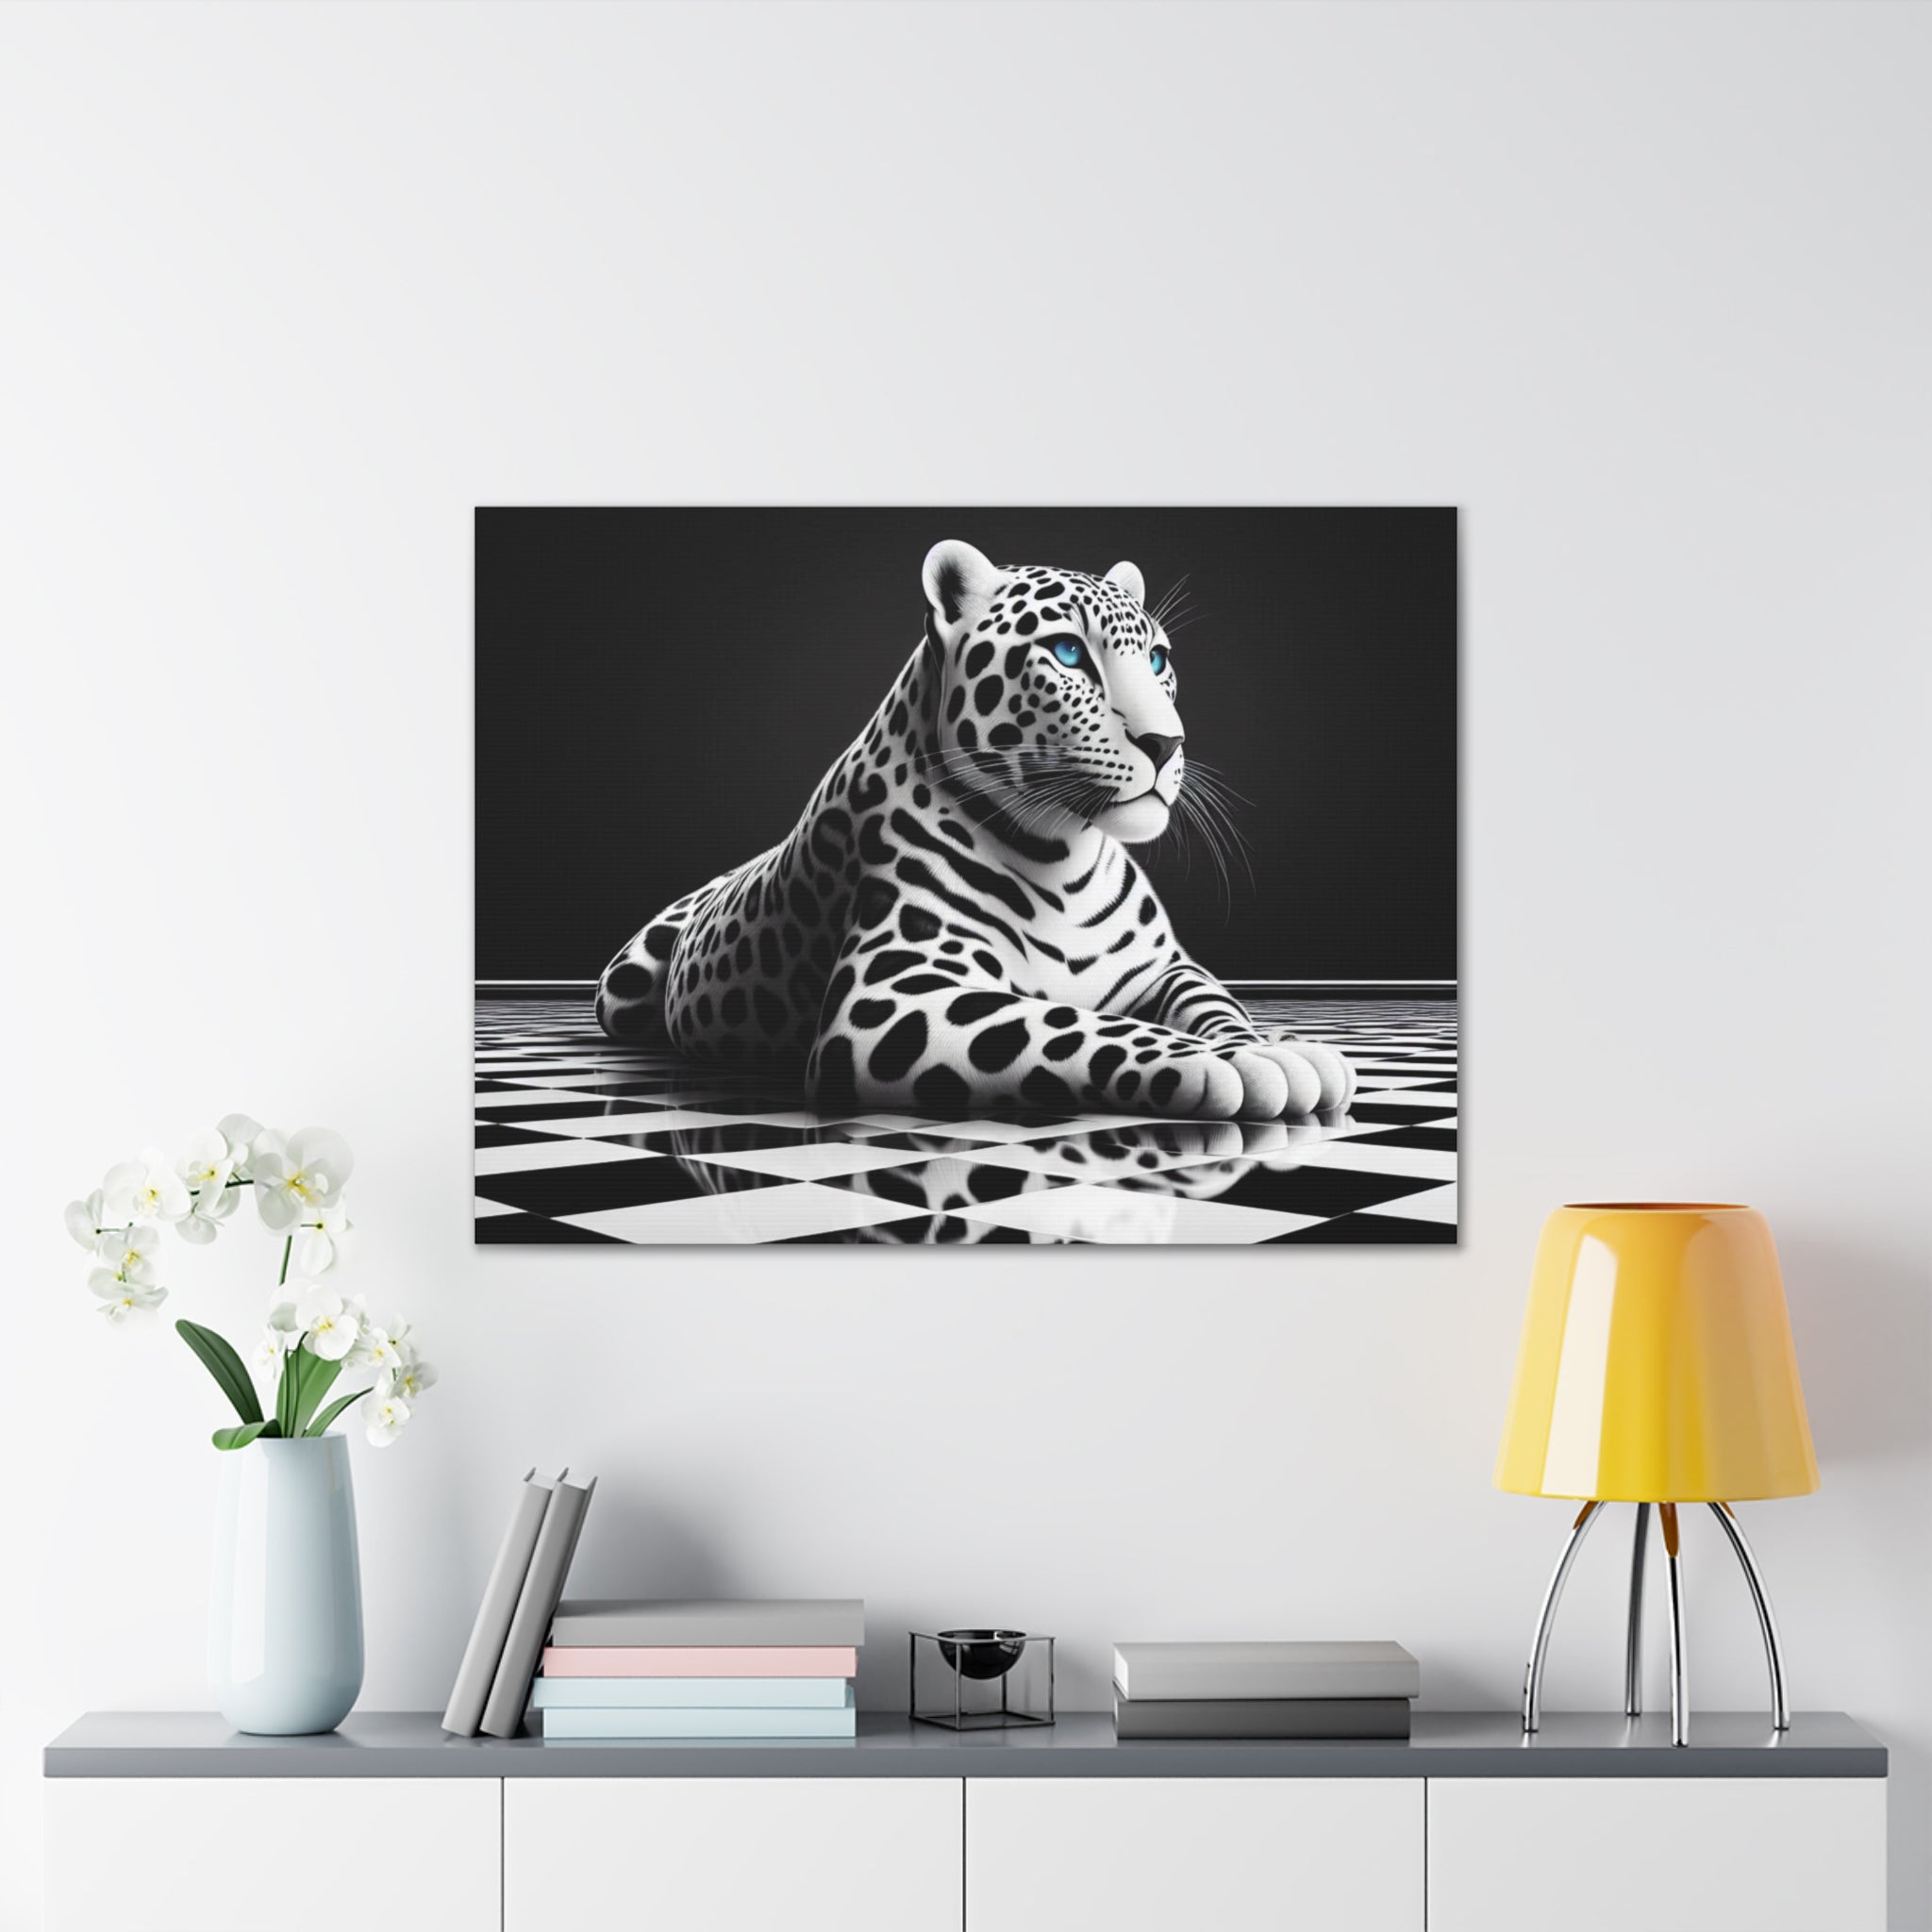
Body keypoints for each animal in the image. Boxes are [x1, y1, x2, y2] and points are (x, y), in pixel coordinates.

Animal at [594, 539, 1357, 1123]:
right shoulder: (892, 997)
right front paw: (1232, 1065)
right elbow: (1075, 1023)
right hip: (621, 988)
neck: (1066, 858)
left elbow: (1215, 1002)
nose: (1166, 744)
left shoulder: (1165, 968)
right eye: (1068, 654)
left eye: (1159, 661)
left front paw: (1268, 1042)